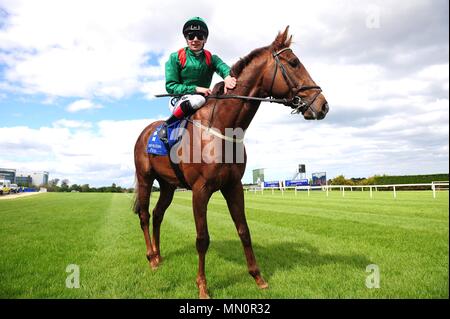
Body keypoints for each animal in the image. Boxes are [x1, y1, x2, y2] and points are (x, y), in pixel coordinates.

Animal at [132, 26, 328, 298]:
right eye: (294, 63)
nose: (323, 105)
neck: (220, 128)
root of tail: (145, 131)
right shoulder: (200, 190)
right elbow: (202, 238)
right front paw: (202, 286)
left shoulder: (233, 186)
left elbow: (244, 230)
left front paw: (258, 277)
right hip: (145, 178)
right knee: (144, 215)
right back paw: (151, 258)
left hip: (168, 185)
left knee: (158, 214)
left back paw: (159, 256)